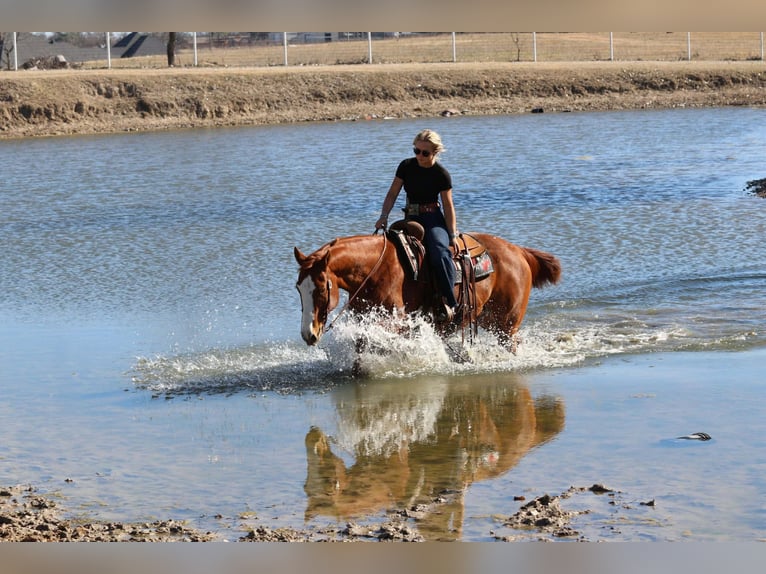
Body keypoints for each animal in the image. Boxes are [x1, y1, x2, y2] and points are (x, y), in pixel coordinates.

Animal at [293, 231, 561, 352]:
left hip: (506, 326)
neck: (375, 271)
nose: (309, 334)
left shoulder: (396, 323)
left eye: (321, 288)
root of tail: (519, 251)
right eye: (298, 288)